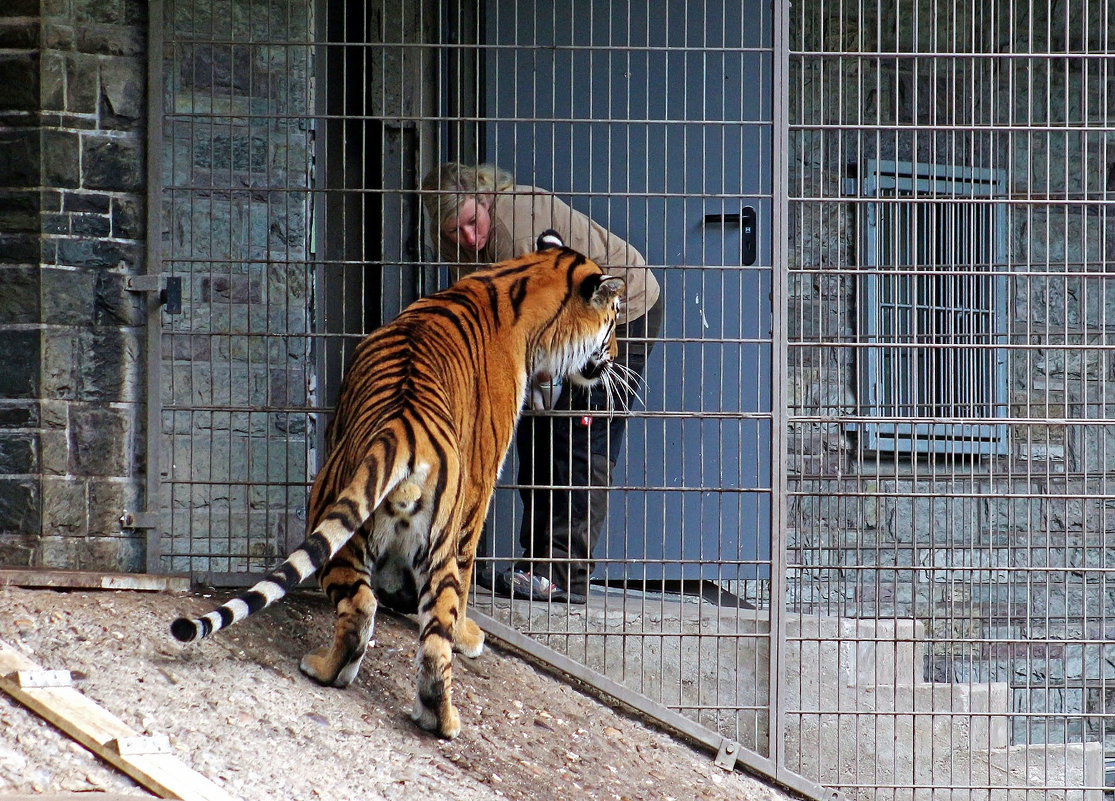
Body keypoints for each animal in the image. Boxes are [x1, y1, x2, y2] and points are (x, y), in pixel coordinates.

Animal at [171, 230, 628, 740]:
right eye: (613, 320)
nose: (614, 357)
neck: (516, 283)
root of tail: (404, 432)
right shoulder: (480, 488)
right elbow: (468, 573)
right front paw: (466, 634)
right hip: (421, 540)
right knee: (427, 628)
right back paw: (436, 713)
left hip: (339, 513)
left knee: (364, 609)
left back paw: (336, 672)